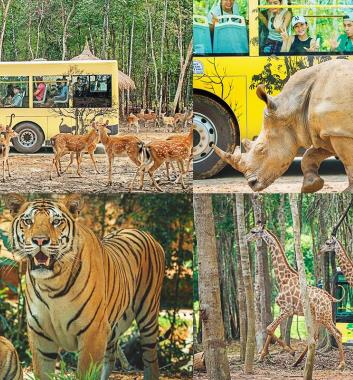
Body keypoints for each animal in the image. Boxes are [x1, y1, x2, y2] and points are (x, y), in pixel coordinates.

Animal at [6, 194, 164, 378]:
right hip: (112, 326)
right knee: (110, 358)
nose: (40, 240)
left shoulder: (93, 332)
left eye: (56, 222)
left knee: (151, 358)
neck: (51, 284)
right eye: (28, 221)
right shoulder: (40, 335)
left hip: (148, 316)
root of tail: (141, 231)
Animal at [246, 224, 346, 370]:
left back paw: (341, 364)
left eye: (253, 231)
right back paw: (298, 362)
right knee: (319, 336)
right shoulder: (284, 310)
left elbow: (269, 328)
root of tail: (330, 298)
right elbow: (270, 329)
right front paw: (262, 356)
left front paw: (290, 351)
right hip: (319, 317)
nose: (246, 238)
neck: (282, 279)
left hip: (324, 316)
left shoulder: (287, 309)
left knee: (337, 334)